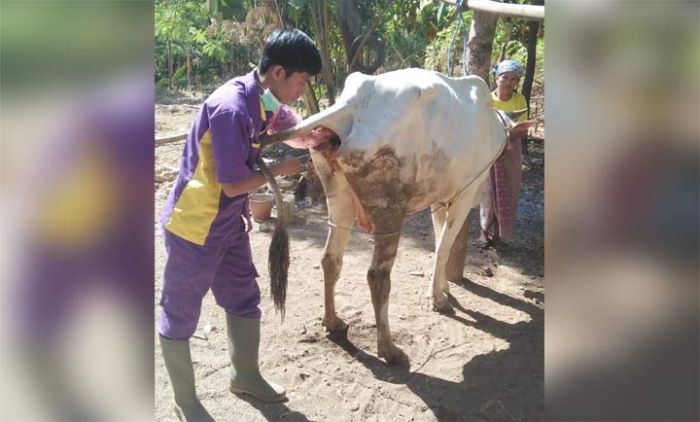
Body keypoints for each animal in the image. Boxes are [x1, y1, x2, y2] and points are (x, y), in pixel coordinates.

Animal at [262, 67, 532, 364]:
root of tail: (353, 103)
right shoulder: (466, 192)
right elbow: (444, 247)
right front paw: (439, 299)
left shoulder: (439, 199)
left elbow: (439, 243)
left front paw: (443, 289)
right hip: (389, 207)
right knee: (377, 276)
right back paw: (389, 349)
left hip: (337, 195)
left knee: (330, 259)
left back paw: (333, 322)